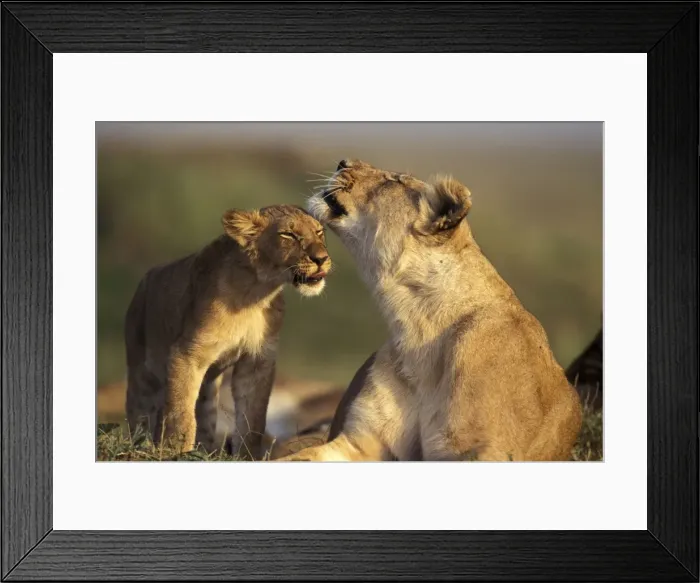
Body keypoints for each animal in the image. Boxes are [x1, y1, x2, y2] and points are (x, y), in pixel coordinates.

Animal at [125, 204, 331, 457]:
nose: (321, 259)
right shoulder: (186, 354)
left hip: (209, 389)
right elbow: (180, 411)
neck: (256, 293)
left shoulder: (257, 361)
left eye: (319, 232)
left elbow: (252, 419)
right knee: (139, 412)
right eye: (288, 235)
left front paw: (247, 456)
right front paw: (174, 452)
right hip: (143, 371)